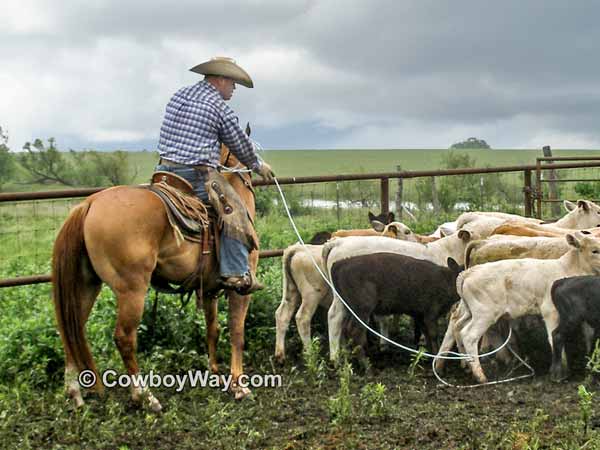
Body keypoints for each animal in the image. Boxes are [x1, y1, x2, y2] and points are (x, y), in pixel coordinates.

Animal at [51, 145, 258, 412]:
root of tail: (89, 203)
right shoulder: (241, 287)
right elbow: (237, 331)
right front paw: (239, 385)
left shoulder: (209, 289)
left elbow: (213, 329)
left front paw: (214, 373)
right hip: (132, 290)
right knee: (124, 338)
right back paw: (145, 396)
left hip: (86, 285)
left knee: (72, 329)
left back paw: (75, 392)